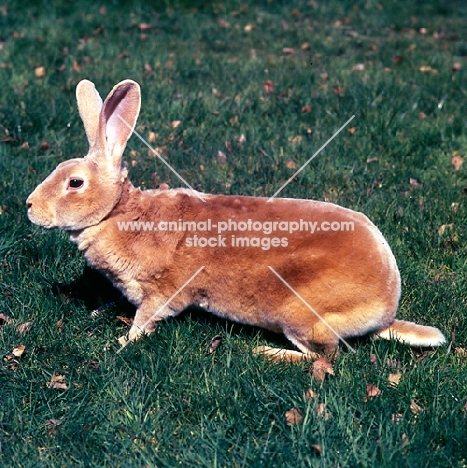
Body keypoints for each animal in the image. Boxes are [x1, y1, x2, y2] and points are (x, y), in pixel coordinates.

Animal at [26, 78, 446, 360]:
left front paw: (121, 342)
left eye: (74, 182)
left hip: (298, 314)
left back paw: (267, 354)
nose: (29, 206)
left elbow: (145, 320)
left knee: (323, 357)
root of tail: (386, 310)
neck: (118, 213)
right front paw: (99, 310)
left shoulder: (163, 292)